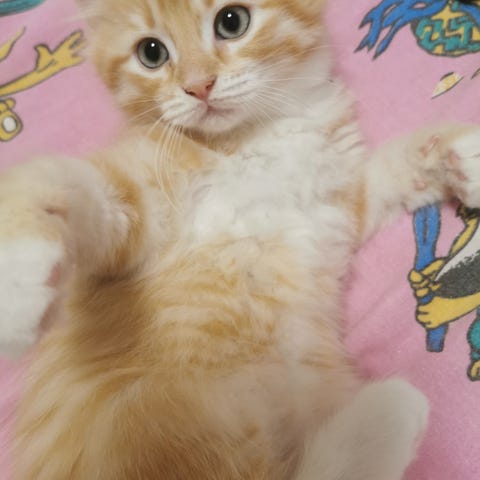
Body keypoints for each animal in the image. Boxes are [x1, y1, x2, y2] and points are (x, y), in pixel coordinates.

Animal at [1, 0, 480, 478]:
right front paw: (19, 273)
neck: (253, 138)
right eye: (151, 53)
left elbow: (391, 169)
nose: (198, 86)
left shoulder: (341, 201)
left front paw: (457, 154)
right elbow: (68, 182)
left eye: (232, 22)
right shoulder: (138, 204)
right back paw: (390, 411)